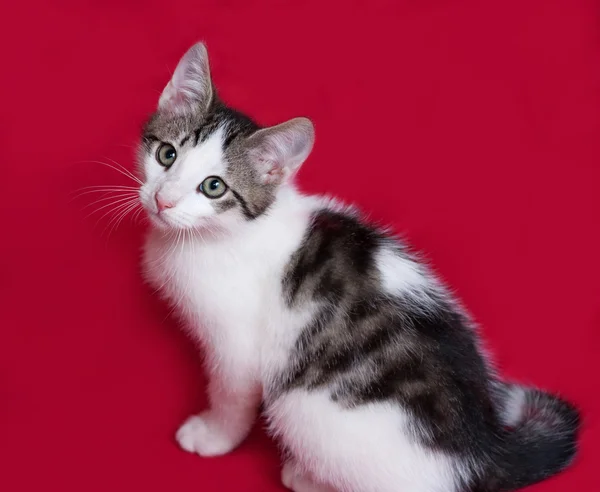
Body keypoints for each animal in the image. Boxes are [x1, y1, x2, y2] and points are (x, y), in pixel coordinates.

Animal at [138, 43, 580, 492]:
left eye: (213, 187)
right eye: (166, 154)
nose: (163, 200)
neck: (216, 235)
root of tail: (481, 452)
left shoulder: (237, 347)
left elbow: (231, 396)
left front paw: (213, 436)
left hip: (302, 406)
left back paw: (304, 476)